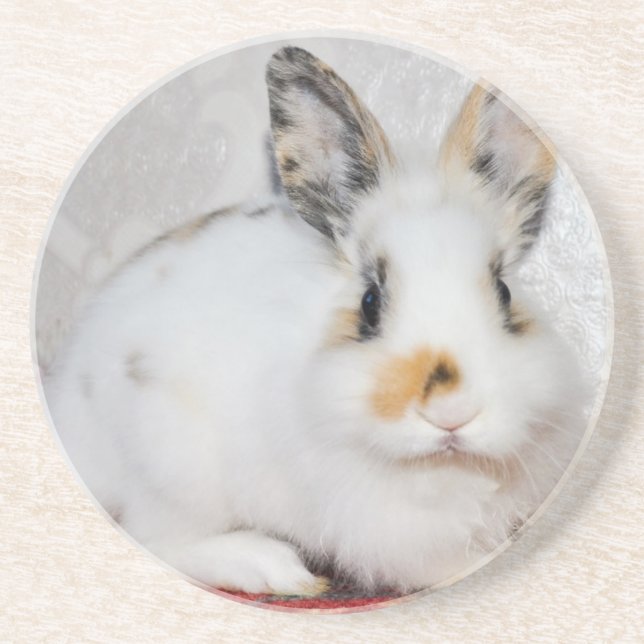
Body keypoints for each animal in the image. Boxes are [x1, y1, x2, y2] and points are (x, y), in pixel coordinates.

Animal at [44, 45, 589, 596]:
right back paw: (273, 568)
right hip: (174, 468)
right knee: (157, 540)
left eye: (504, 292)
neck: (440, 466)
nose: (452, 412)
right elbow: (438, 564)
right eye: (370, 302)